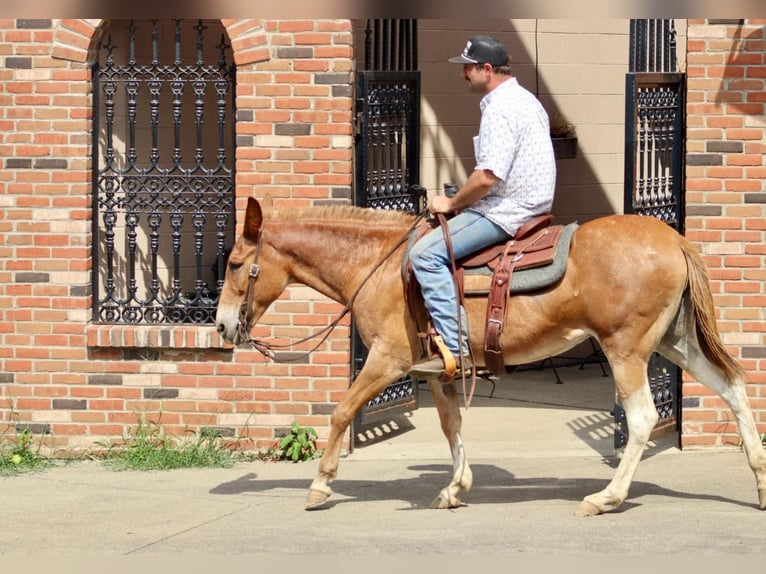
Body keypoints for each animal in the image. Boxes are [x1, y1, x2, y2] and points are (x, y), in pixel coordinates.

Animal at [216, 196, 766, 516]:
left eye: (237, 264)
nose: (221, 325)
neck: (379, 267)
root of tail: (673, 239)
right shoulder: (436, 373)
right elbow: (451, 426)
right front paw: (455, 489)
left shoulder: (388, 361)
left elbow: (342, 411)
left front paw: (320, 486)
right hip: (675, 341)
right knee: (734, 388)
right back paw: (759, 482)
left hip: (625, 349)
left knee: (644, 417)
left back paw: (606, 497)